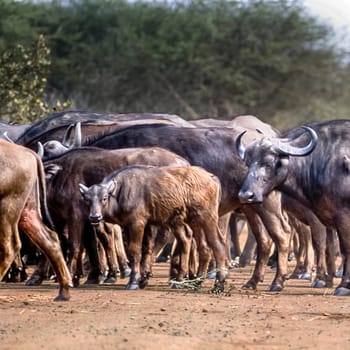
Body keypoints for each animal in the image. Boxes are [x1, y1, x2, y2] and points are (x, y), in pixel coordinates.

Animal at [0, 139, 72, 300]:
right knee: (49, 239)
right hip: (28, 212)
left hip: (7, 208)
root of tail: (27, 152)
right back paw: (64, 290)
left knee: (10, 247)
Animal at [79, 165, 227, 292]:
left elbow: (134, 251)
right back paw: (195, 281)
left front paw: (133, 281)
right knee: (201, 247)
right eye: (87, 199)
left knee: (218, 244)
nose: (95, 217)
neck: (122, 191)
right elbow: (146, 249)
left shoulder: (137, 224)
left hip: (207, 218)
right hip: (191, 221)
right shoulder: (140, 225)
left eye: (104, 198)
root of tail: (211, 177)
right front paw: (143, 278)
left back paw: (219, 283)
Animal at [235, 119, 350, 296]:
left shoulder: (341, 216)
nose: (245, 195)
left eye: (268, 163)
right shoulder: (327, 216)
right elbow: (328, 248)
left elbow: (342, 248)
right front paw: (327, 280)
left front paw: (343, 285)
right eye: (247, 163)